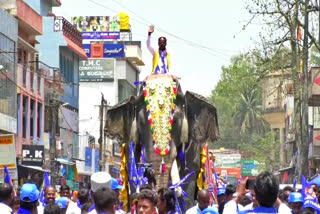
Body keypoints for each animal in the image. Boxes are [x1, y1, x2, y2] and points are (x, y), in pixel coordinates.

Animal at [104, 74, 219, 211]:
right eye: (142, 122)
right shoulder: (128, 135)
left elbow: (190, 169)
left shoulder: (194, 137)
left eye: (175, 121)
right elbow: (131, 165)